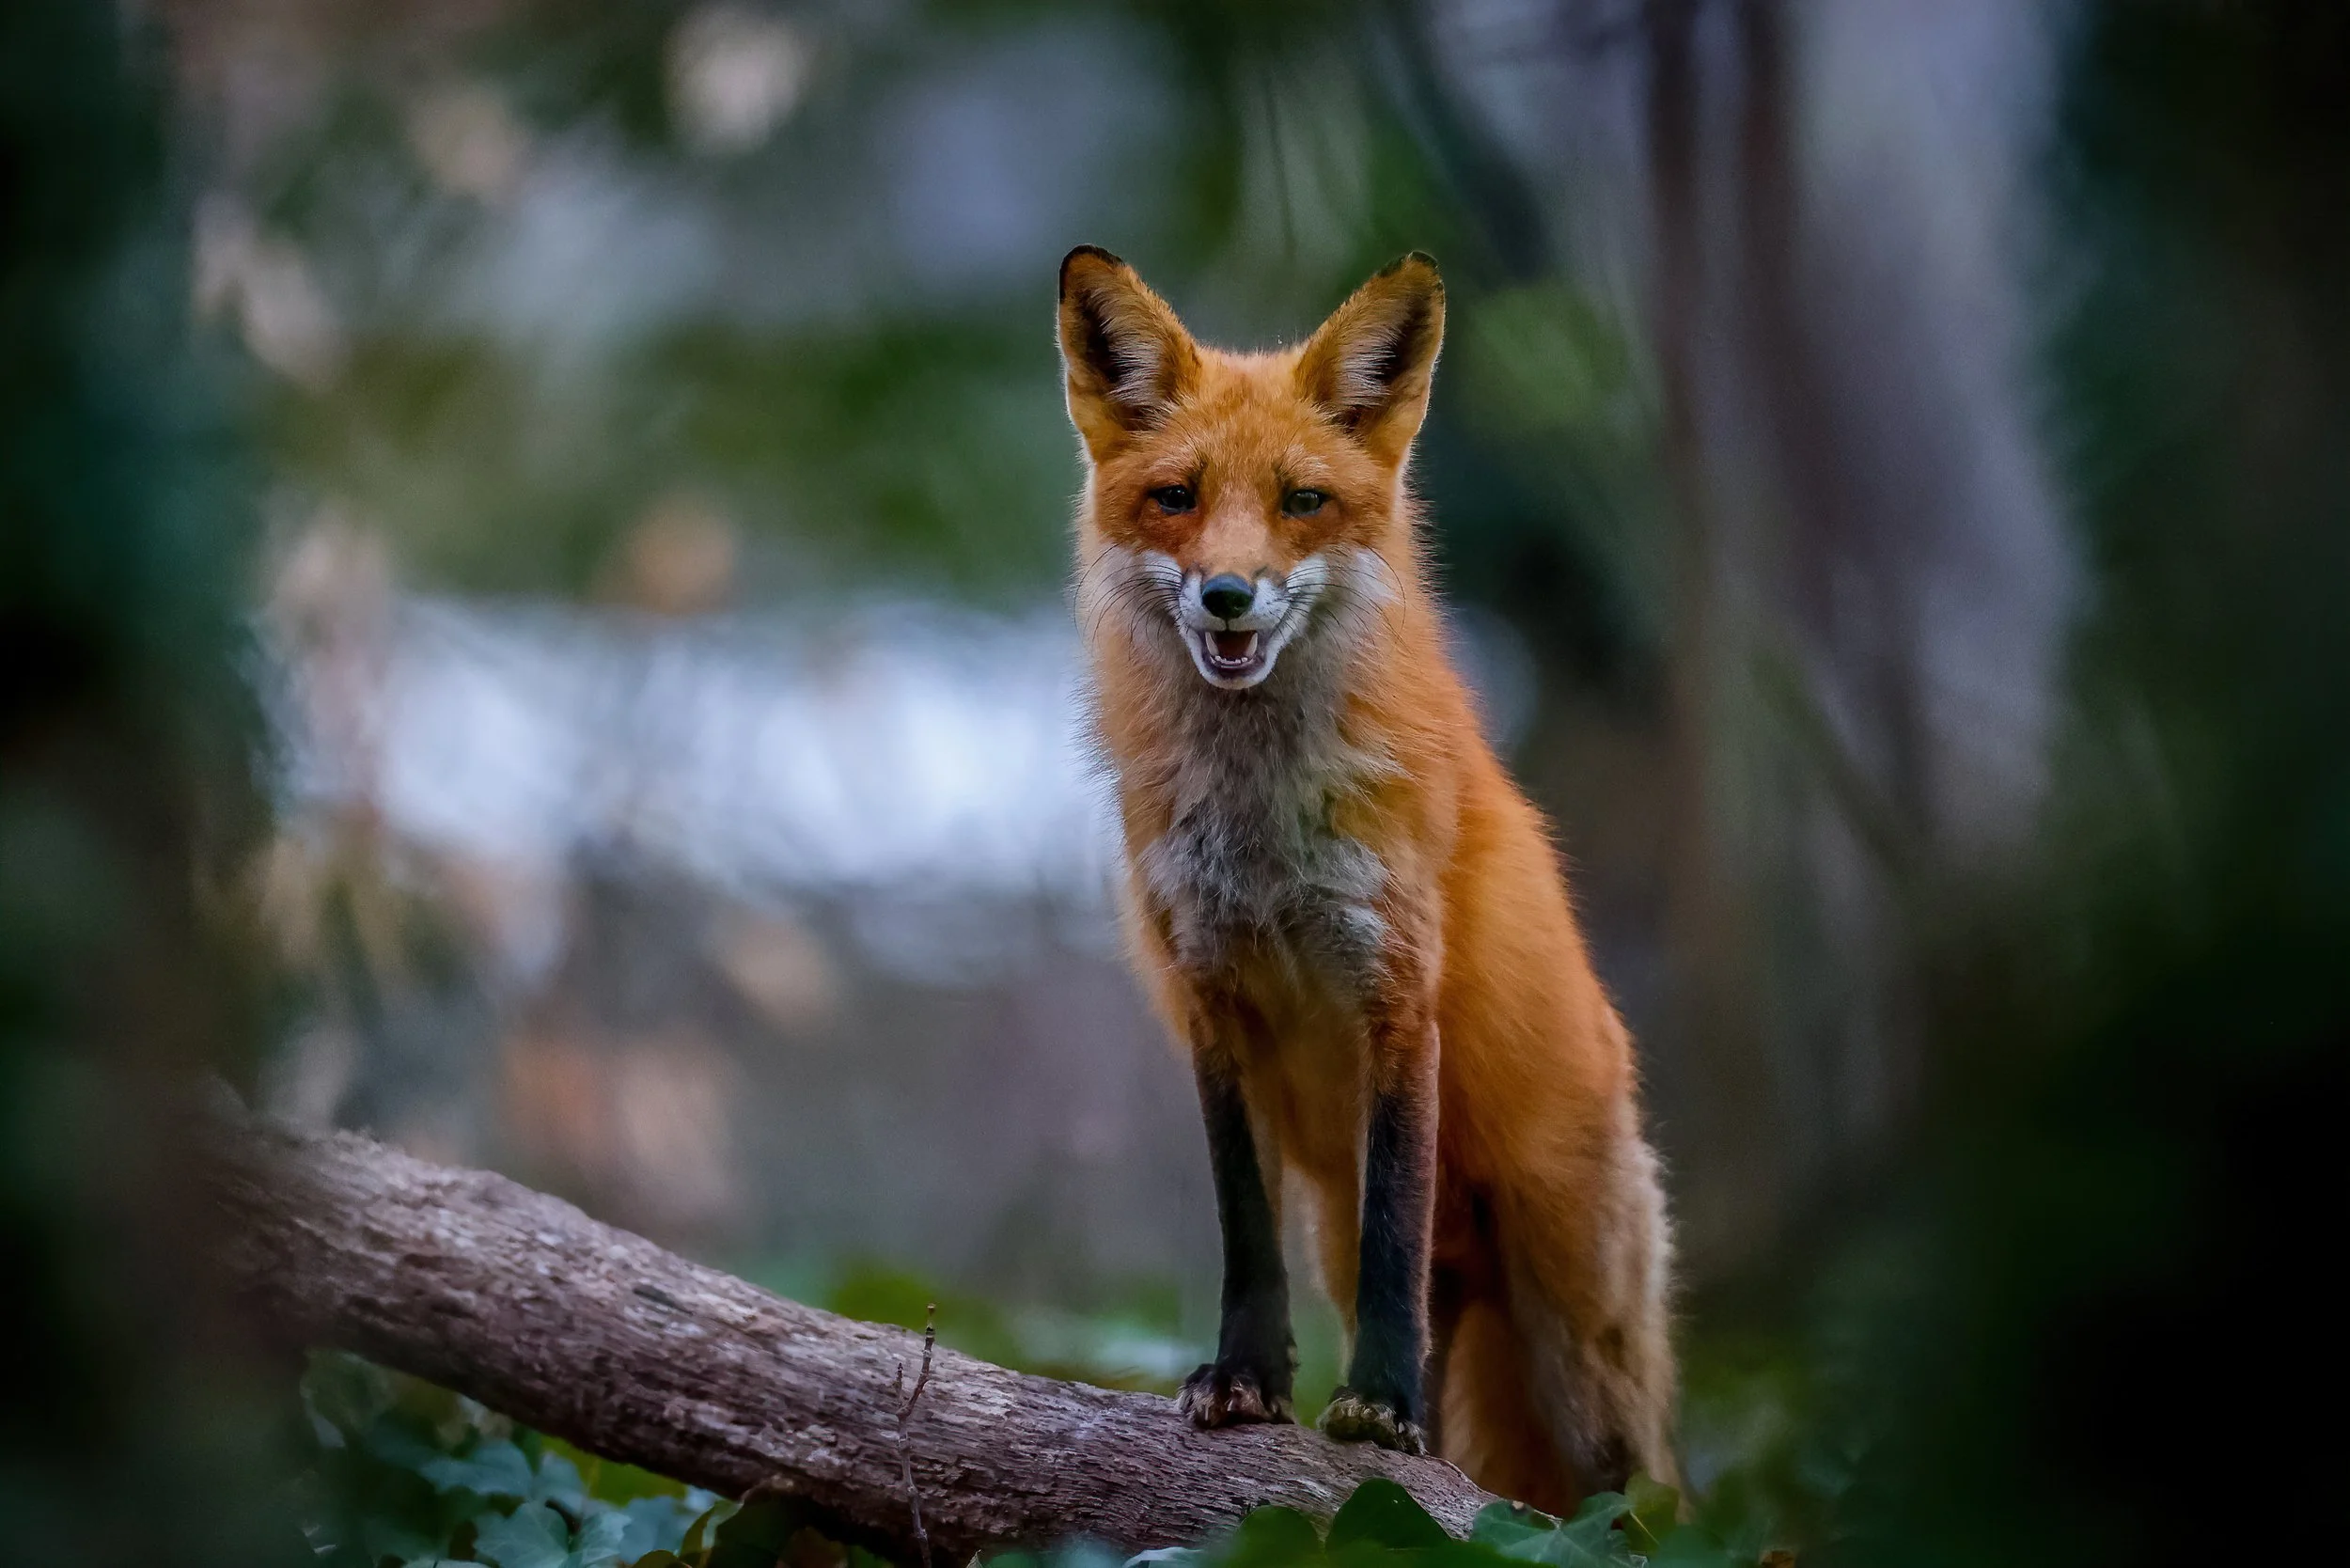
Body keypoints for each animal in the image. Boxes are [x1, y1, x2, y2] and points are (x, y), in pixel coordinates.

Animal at [1055, 246, 1678, 1511]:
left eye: (1301, 502)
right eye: (1176, 497)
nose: (1228, 595)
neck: (1263, 831)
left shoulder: (1393, 987)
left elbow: (1396, 1220)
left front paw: (1379, 1410)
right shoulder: (1215, 999)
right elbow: (1243, 1227)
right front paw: (1246, 1382)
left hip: (1586, 1358)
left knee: (1645, 1498)